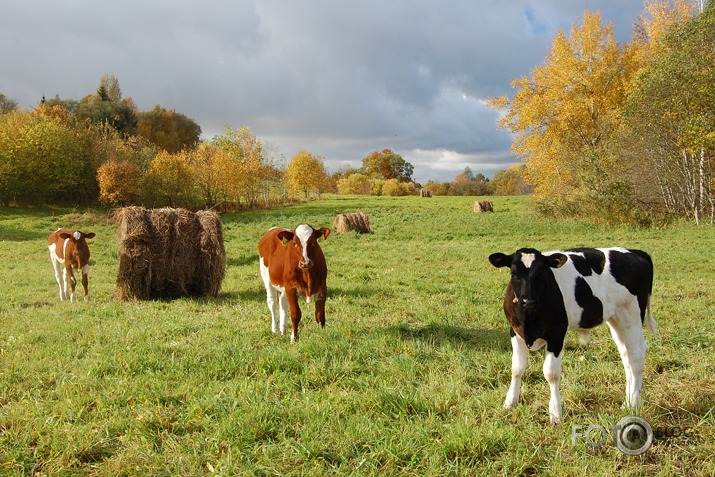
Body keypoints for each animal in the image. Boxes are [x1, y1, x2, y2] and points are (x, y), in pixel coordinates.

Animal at [490, 247, 656, 422]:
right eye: (514, 273)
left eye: (541, 273)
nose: (528, 301)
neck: (529, 317)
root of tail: (634, 252)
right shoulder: (515, 332)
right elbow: (517, 368)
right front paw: (510, 403)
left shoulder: (557, 333)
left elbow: (551, 373)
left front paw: (555, 414)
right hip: (616, 320)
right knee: (626, 356)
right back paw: (627, 402)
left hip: (632, 316)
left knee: (636, 356)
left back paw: (634, 404)